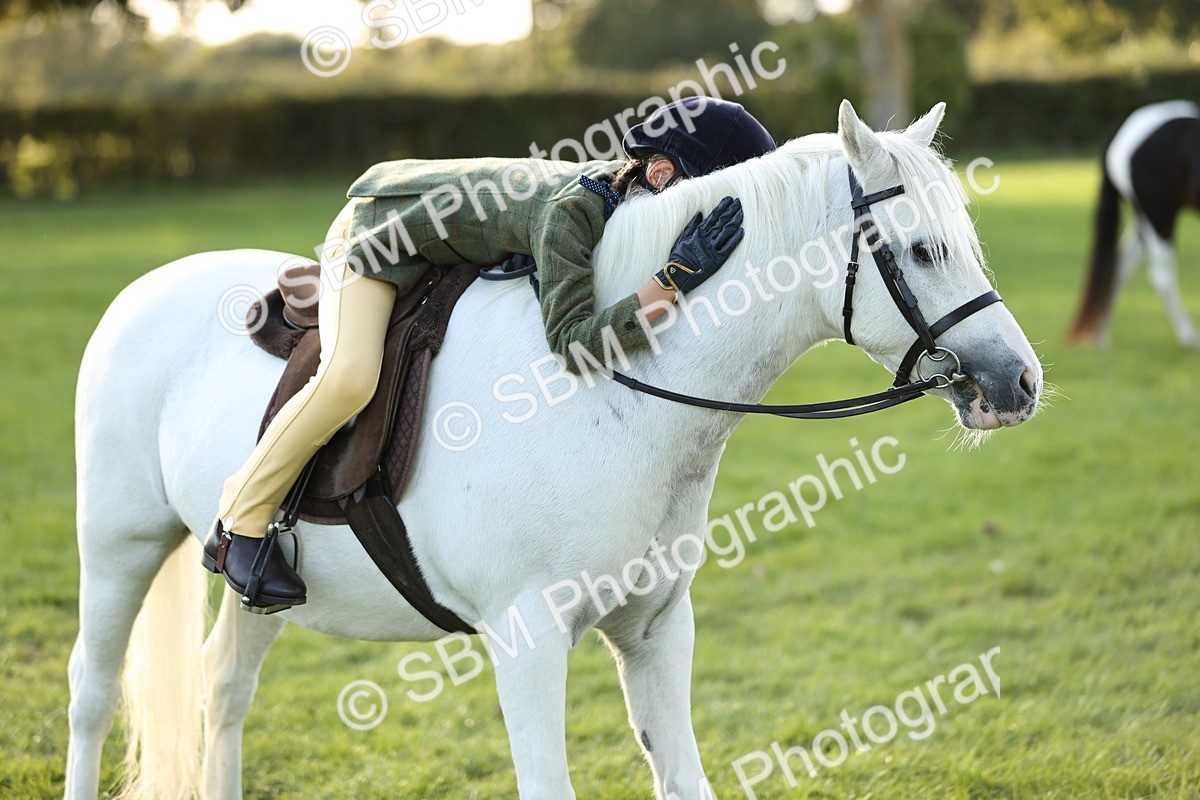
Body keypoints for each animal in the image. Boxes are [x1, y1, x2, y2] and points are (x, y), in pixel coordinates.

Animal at [64, 100, 1042, 800]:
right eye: (923, 250)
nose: (1020, 382)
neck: (614, 394)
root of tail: (145, 286)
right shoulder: (527, 641)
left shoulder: (657, 628)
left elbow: (683, 777)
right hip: (120, 544)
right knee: (94, 693)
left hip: (259, 579)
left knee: (223, 686)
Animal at [1068, 99, 1200, 347]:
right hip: (1158, 215)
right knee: (1161, 277)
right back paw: (1189, 336)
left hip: (1143, 219)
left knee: (1119, 267)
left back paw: (1102, 338)